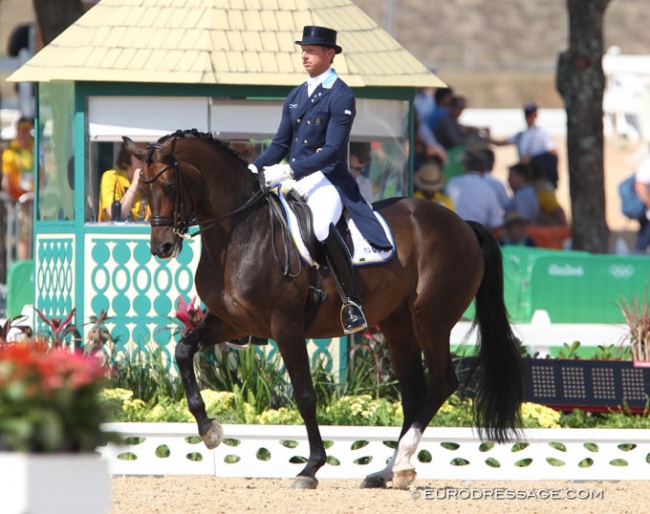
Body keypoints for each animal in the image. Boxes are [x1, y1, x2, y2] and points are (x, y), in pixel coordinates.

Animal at [124, 129, 524, 488]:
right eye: (142, 189)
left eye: (169, 186)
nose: (161, 247)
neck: (240, 231)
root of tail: (463, 225)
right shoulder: (231, 322)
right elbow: (183, 351)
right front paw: (209, 430)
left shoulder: (285, 326)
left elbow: (304, 394)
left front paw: (311, 467)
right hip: (398, 326)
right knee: (413, 393)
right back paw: (388, 471)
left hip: (432, 320)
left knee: (441, 383)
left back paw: (403, 462)